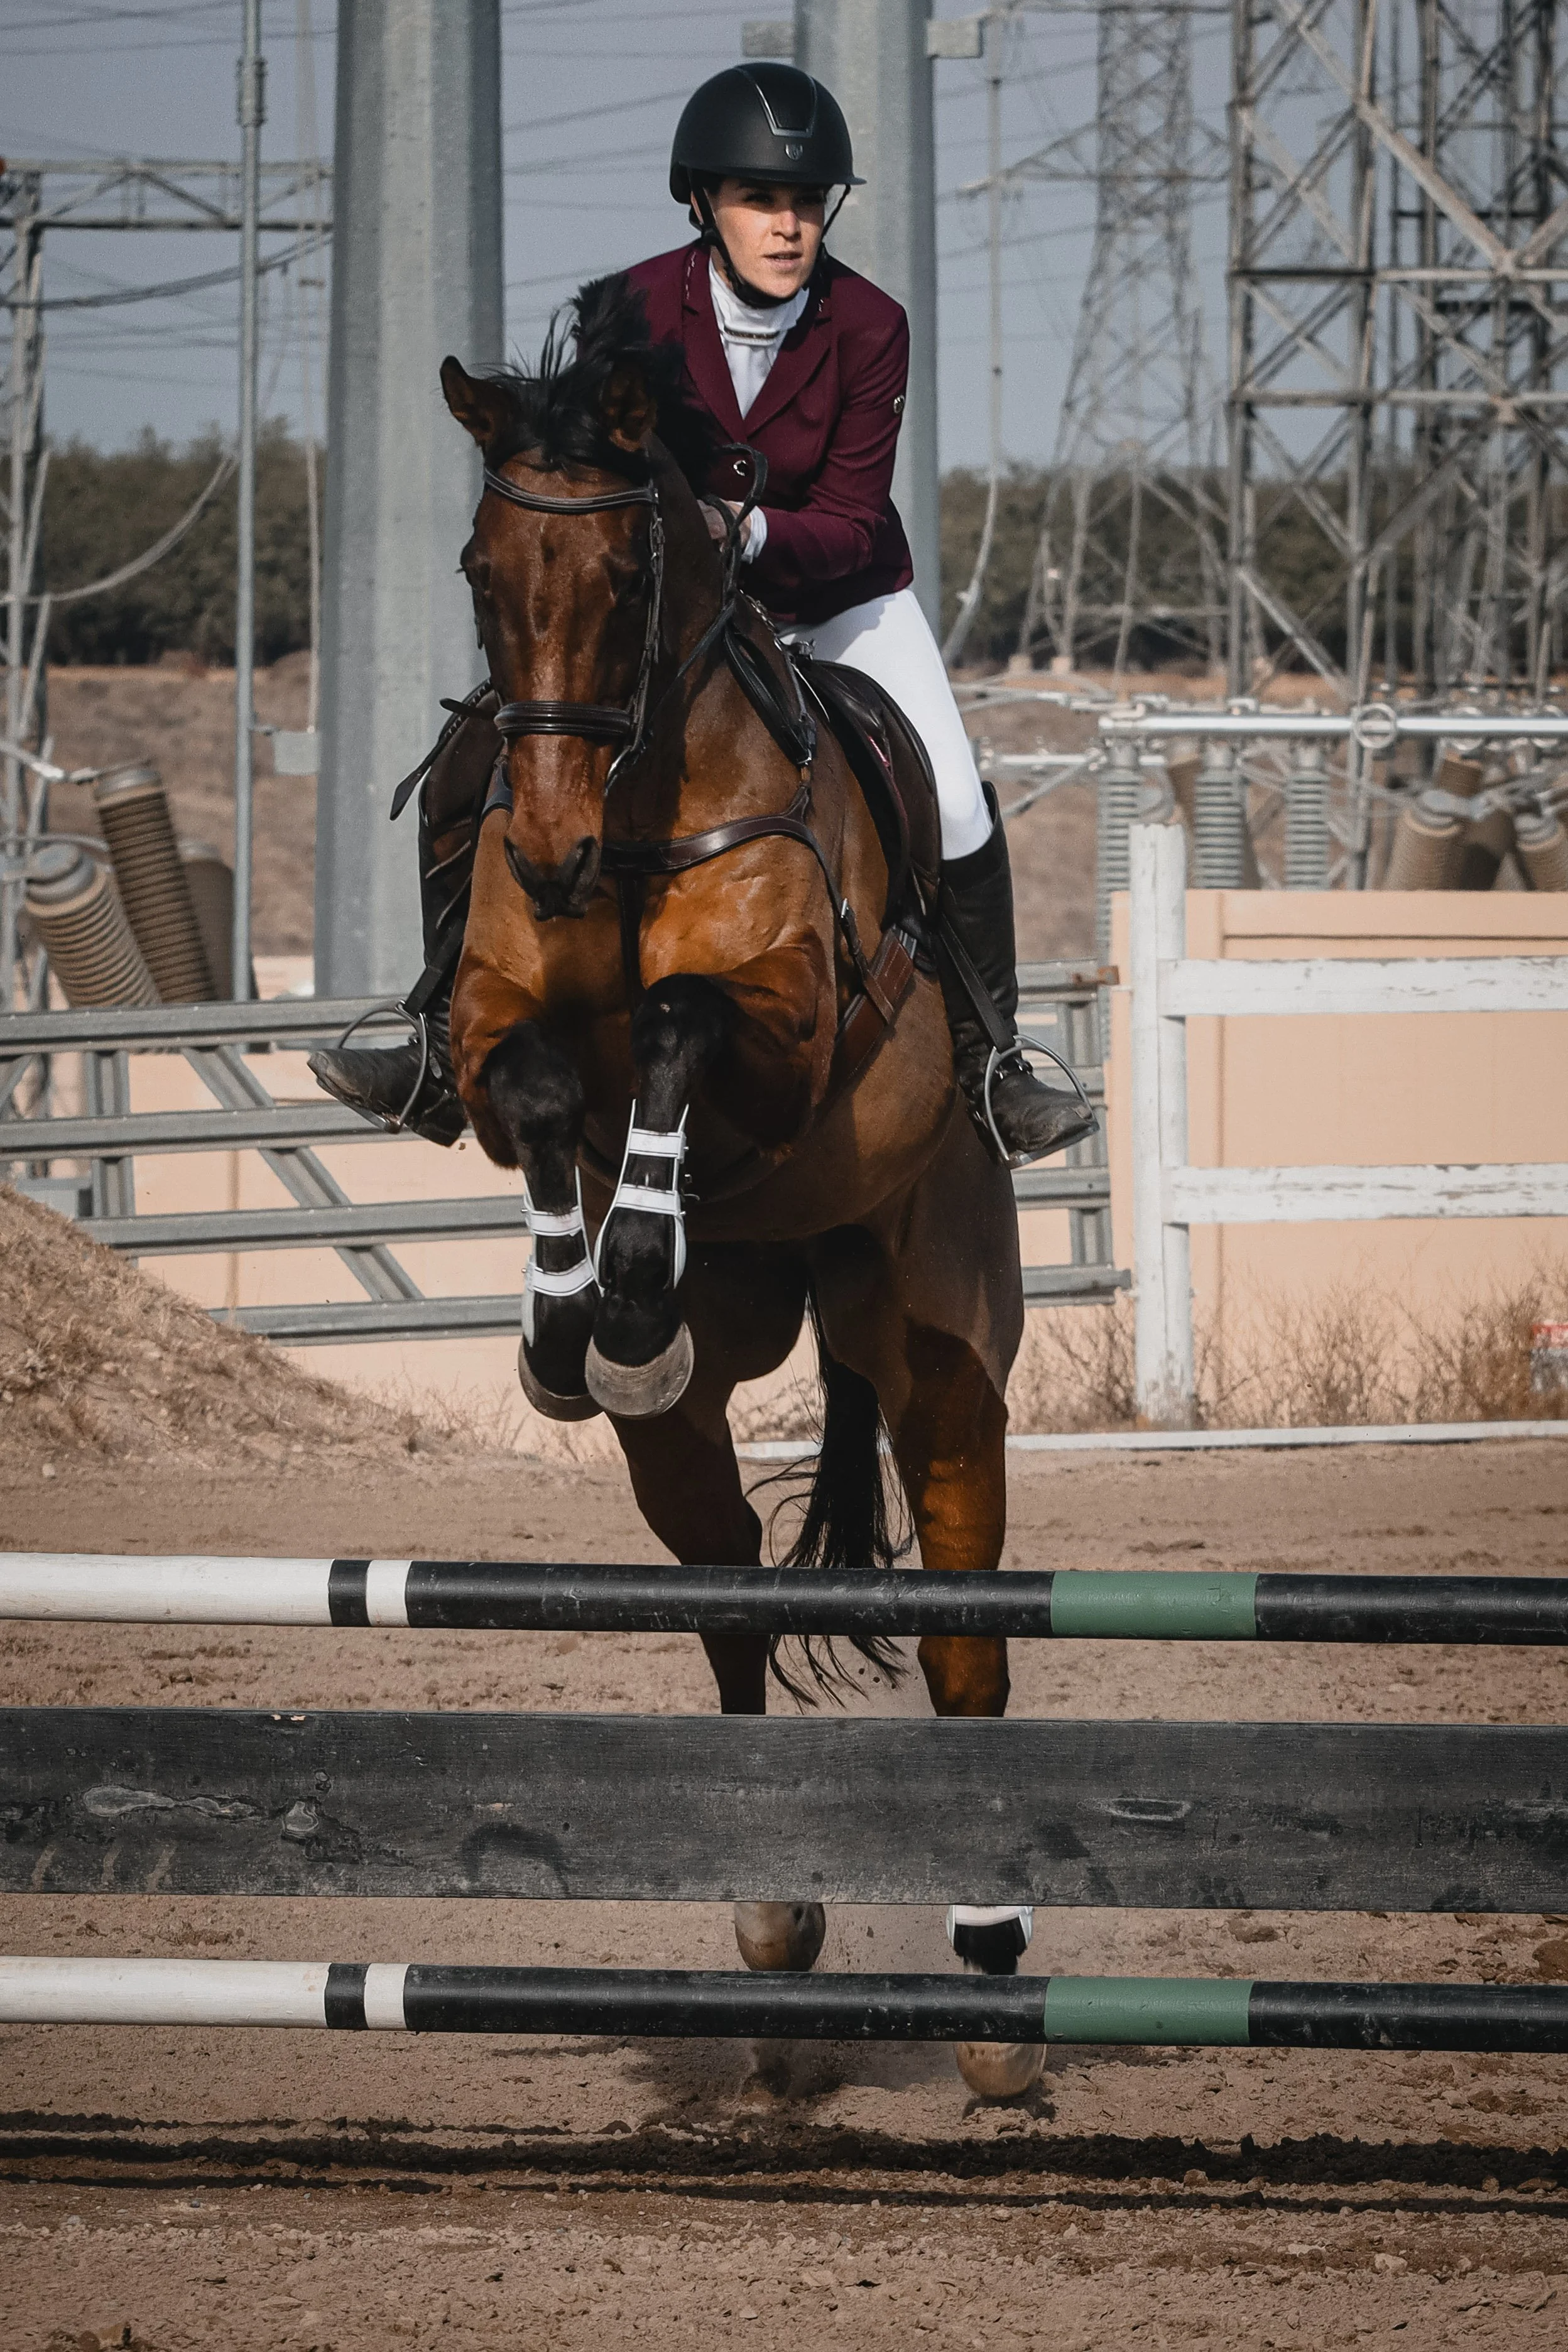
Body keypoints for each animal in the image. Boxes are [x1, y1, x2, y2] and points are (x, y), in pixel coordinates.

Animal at [439, 277, 1037, 2097]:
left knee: (969, 1641)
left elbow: (686, 1022)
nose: (548, 848)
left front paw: (627, 1260)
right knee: (728, 1605)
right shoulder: (495, 1035)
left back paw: (995, 1990)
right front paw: (578, 1310)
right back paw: (773, 1933)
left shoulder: (785, 1029)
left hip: (939, 1346)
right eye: (481, 573)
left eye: (632, 584)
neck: (633, 806)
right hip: (701, 1428)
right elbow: (543, 1086)